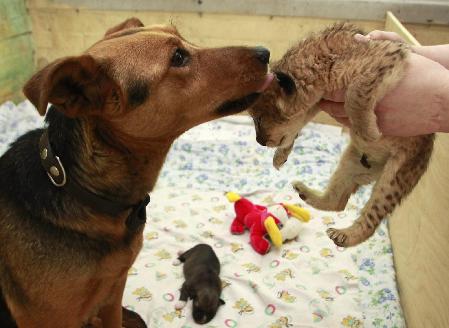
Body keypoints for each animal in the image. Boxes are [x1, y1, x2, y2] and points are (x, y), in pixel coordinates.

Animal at [248, 23, 434, 247]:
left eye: (258, 119)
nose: (259, 141)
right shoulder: (319, 101)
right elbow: (296, 127)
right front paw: (281, 155)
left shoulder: (387, 56)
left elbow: (355, 93)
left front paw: (368, 131)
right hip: (351, 162)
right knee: (338, 203)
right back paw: (306, 193)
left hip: (395, 176)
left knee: (370, 222)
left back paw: (346, 235)